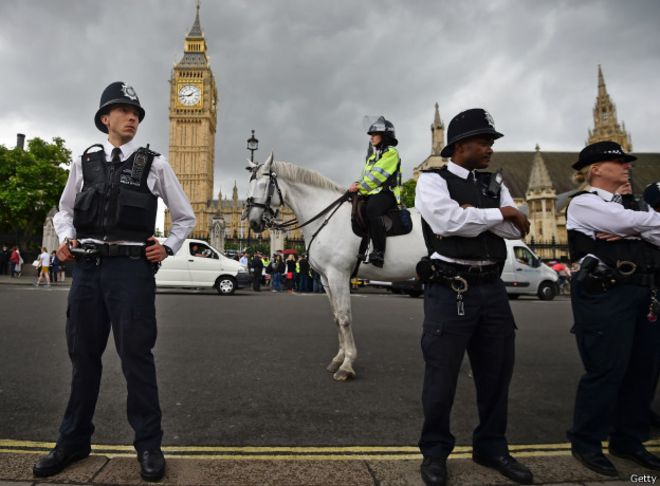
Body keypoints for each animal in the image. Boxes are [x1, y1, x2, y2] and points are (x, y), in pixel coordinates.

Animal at [244, 154, 428, 382]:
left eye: (264, 184)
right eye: (250, 183)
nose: (253, 222)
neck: (325, 217)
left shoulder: (338, 275)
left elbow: (344, 317)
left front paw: (347, 365)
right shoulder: (326, 278)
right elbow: (336, 317)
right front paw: (339, 359)